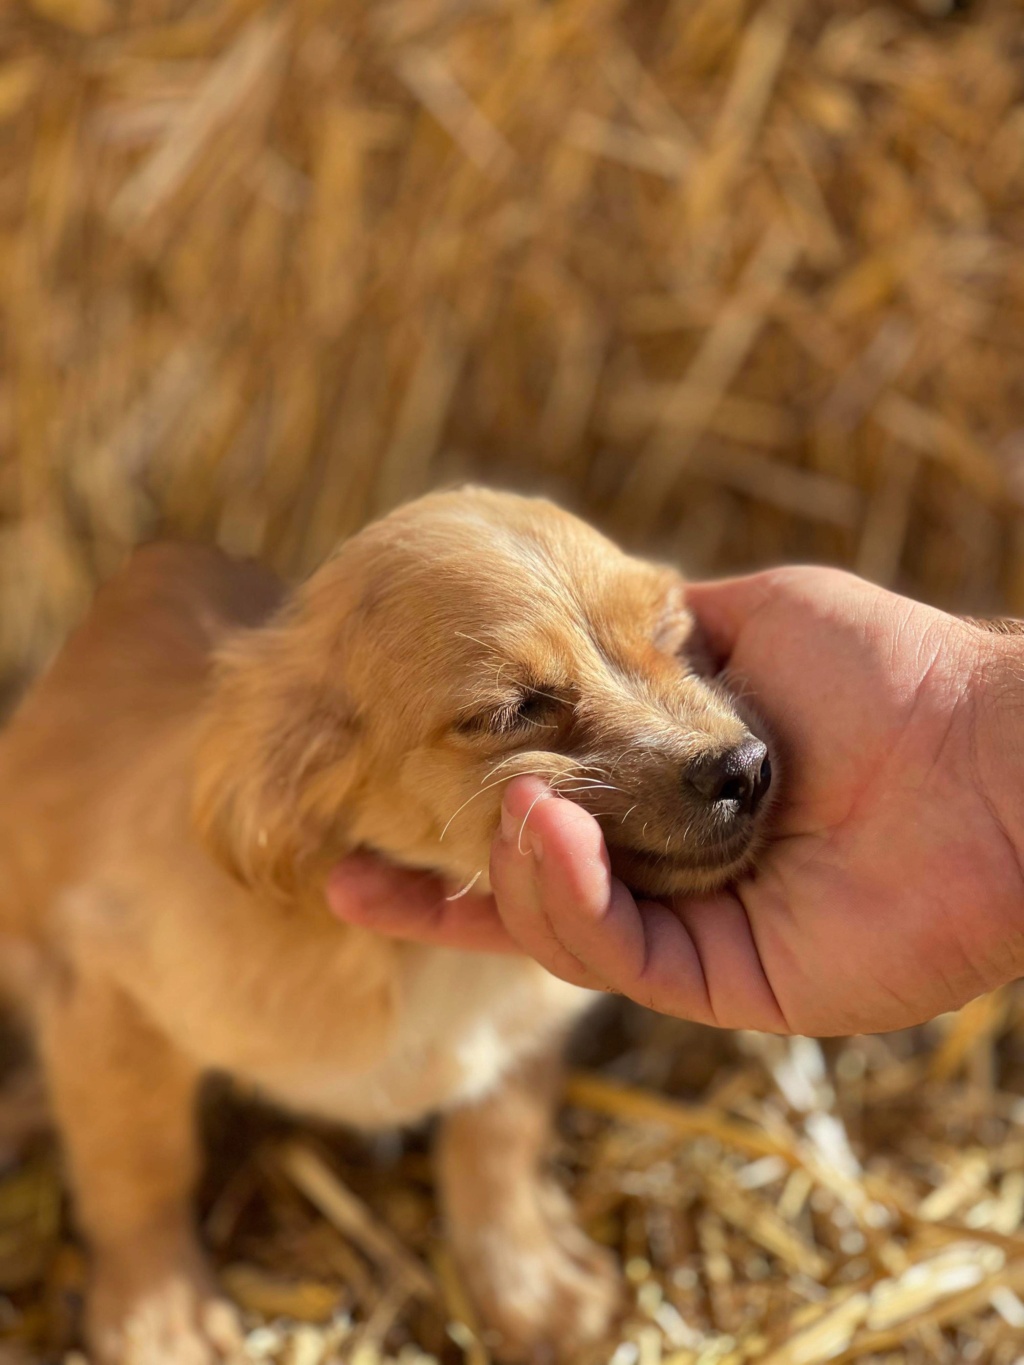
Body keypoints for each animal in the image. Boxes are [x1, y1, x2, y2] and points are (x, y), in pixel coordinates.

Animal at [0, 491, 775, 1365]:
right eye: (516, 710)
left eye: (671, 634)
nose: (745, 767)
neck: (422, 950)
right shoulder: (110, 995)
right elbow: (137, 1164)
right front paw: (160, 1317)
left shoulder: (525, 1034)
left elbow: (499, 1145)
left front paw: (533, 1289)